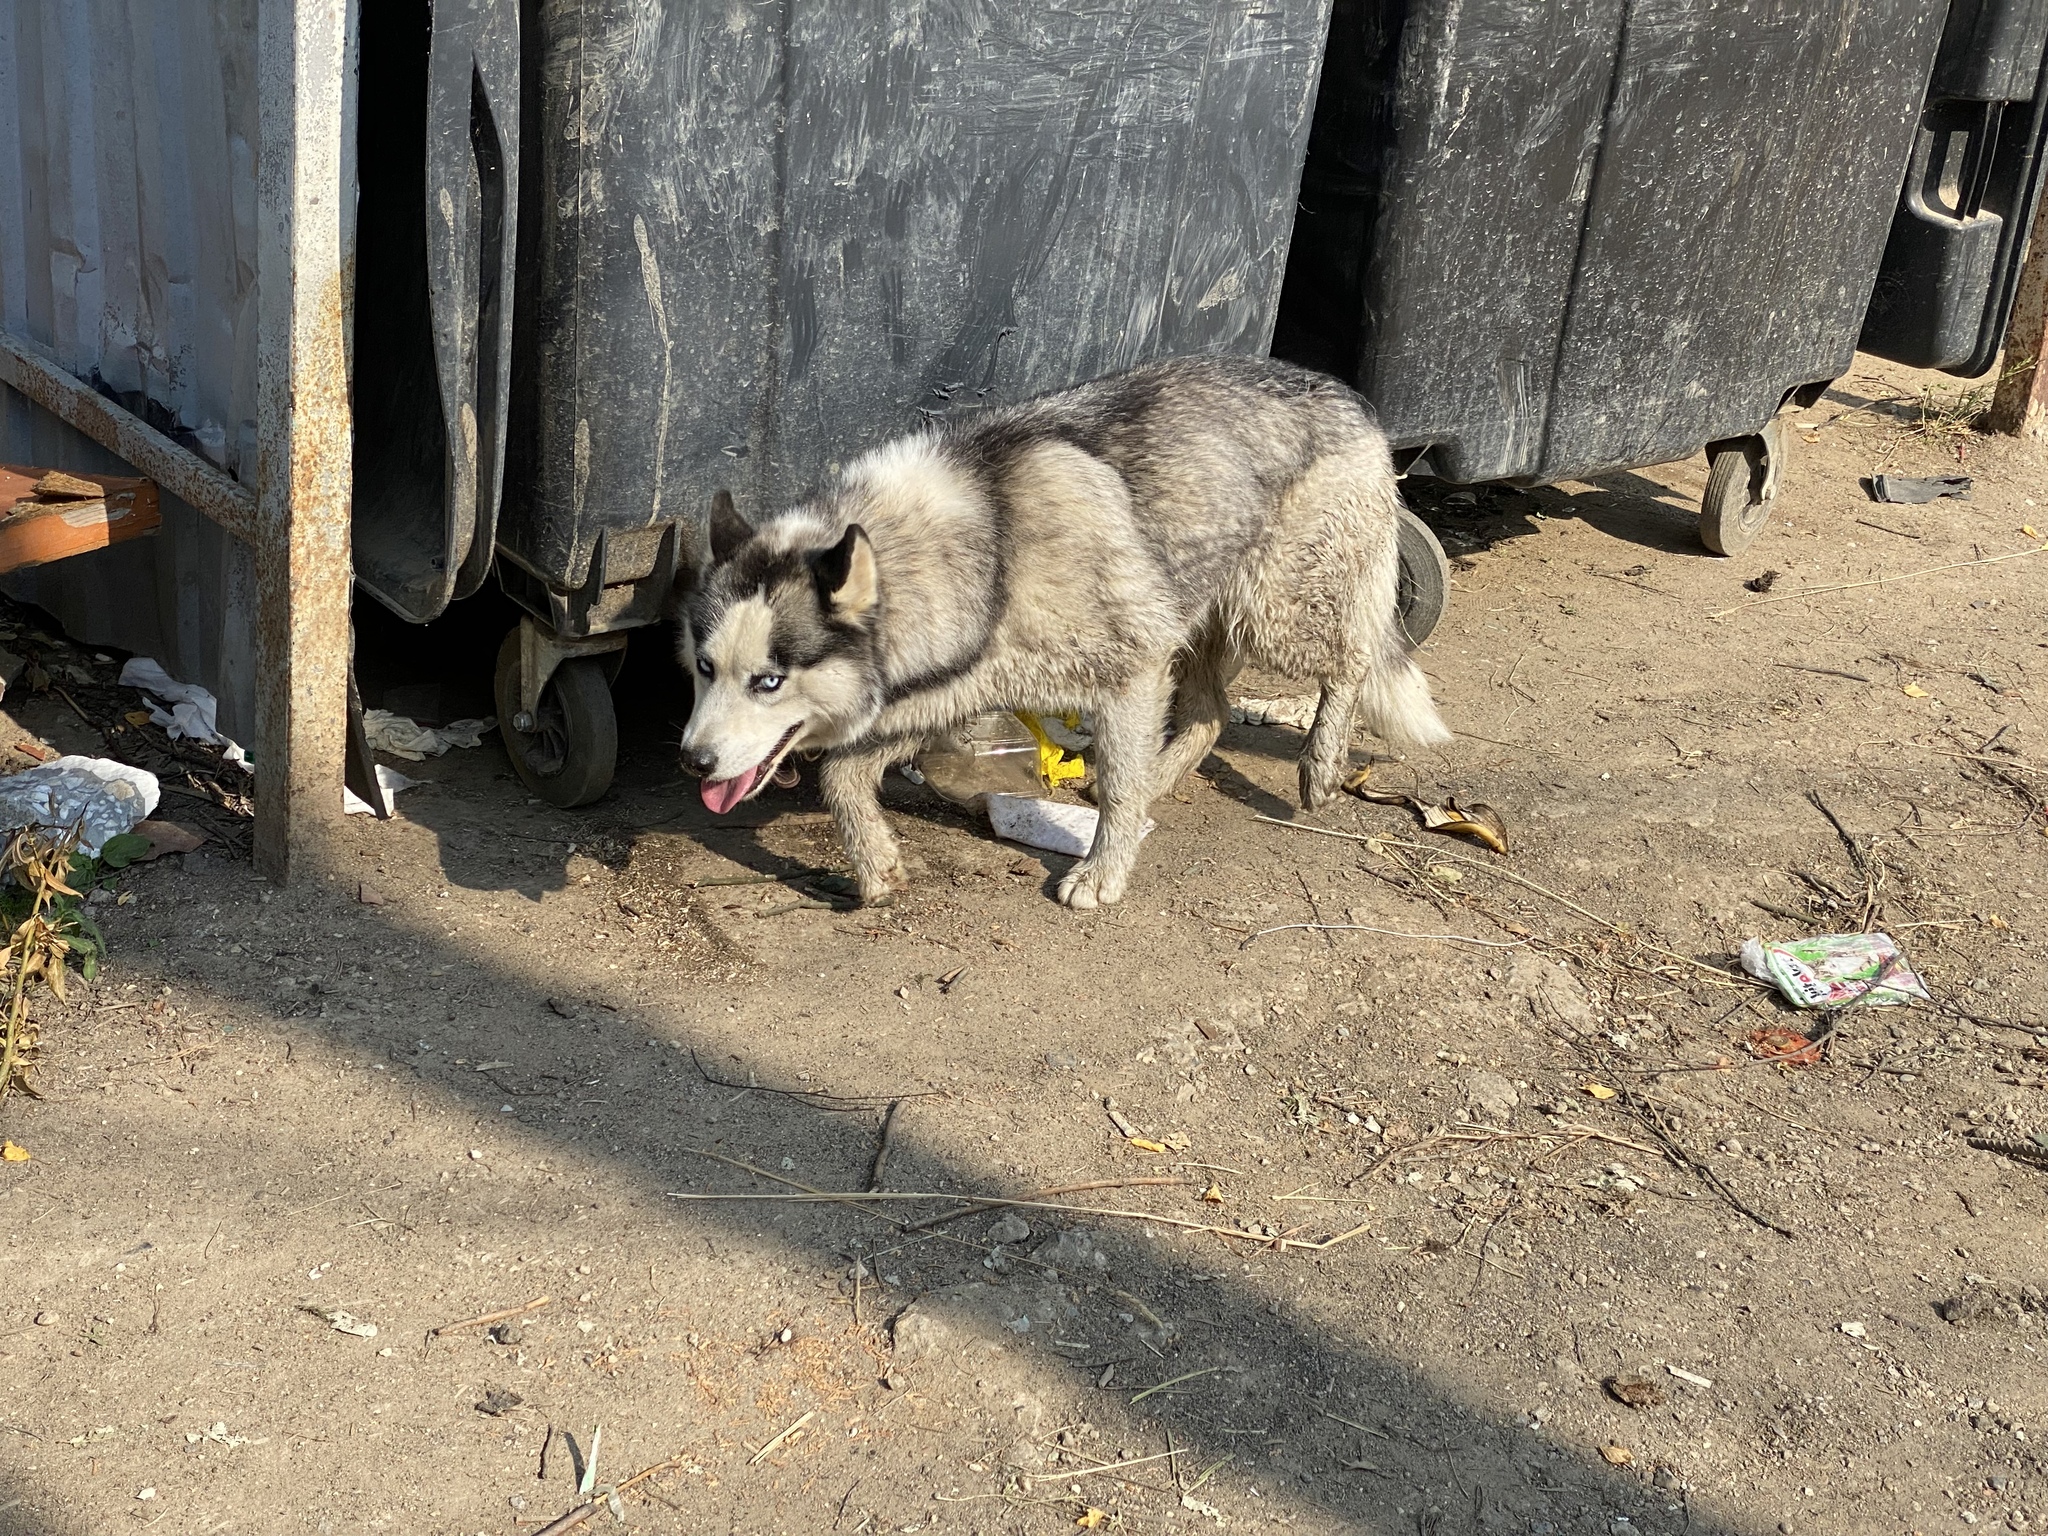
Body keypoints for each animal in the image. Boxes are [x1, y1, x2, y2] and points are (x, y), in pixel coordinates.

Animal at [679, 358, 1449, 913]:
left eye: (769, 681)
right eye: (704, 669)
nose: (692, 762)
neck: (992, 544)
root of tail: (1344, 392)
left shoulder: (1130, 674)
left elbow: (1119, 791)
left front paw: (1103, 873)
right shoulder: (950, 687)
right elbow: (840, 777)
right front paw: (876, 869)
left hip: (1271, 612)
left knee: (1351, 660)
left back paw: (1319, 763)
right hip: (1197, 619)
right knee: (1212, 712)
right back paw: (1166, 776)